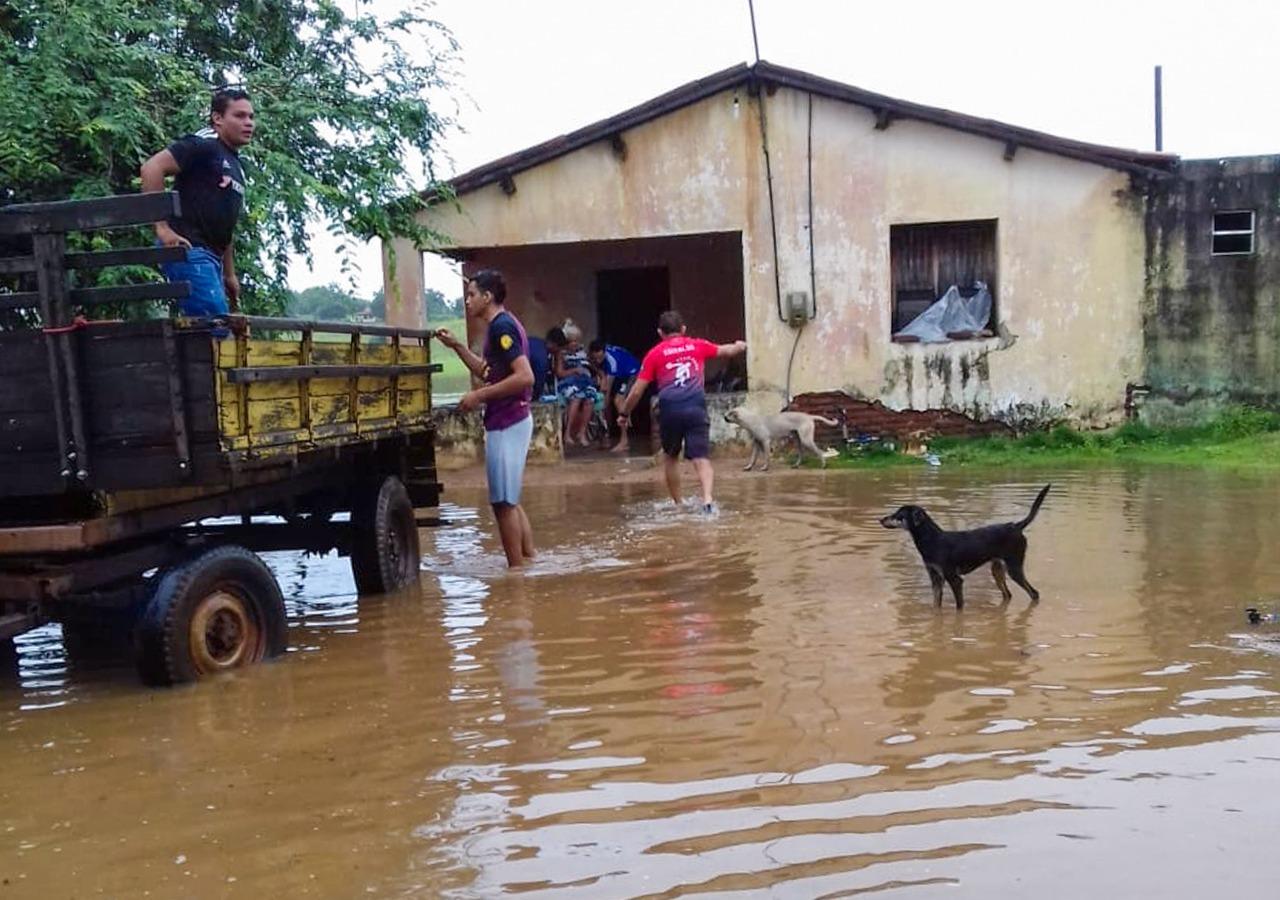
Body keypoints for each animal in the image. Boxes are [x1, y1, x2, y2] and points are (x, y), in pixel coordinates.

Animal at [879, 484, 1051, 609]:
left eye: (898, 515)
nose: (880, 519)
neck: (932, 540)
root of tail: (1015, 526)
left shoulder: (955, 579)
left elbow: (959, 607)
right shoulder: (936, 579)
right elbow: (936, 606)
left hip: (1014, 568)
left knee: (1034, 593)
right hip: (997, 570)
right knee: (1008, 595)